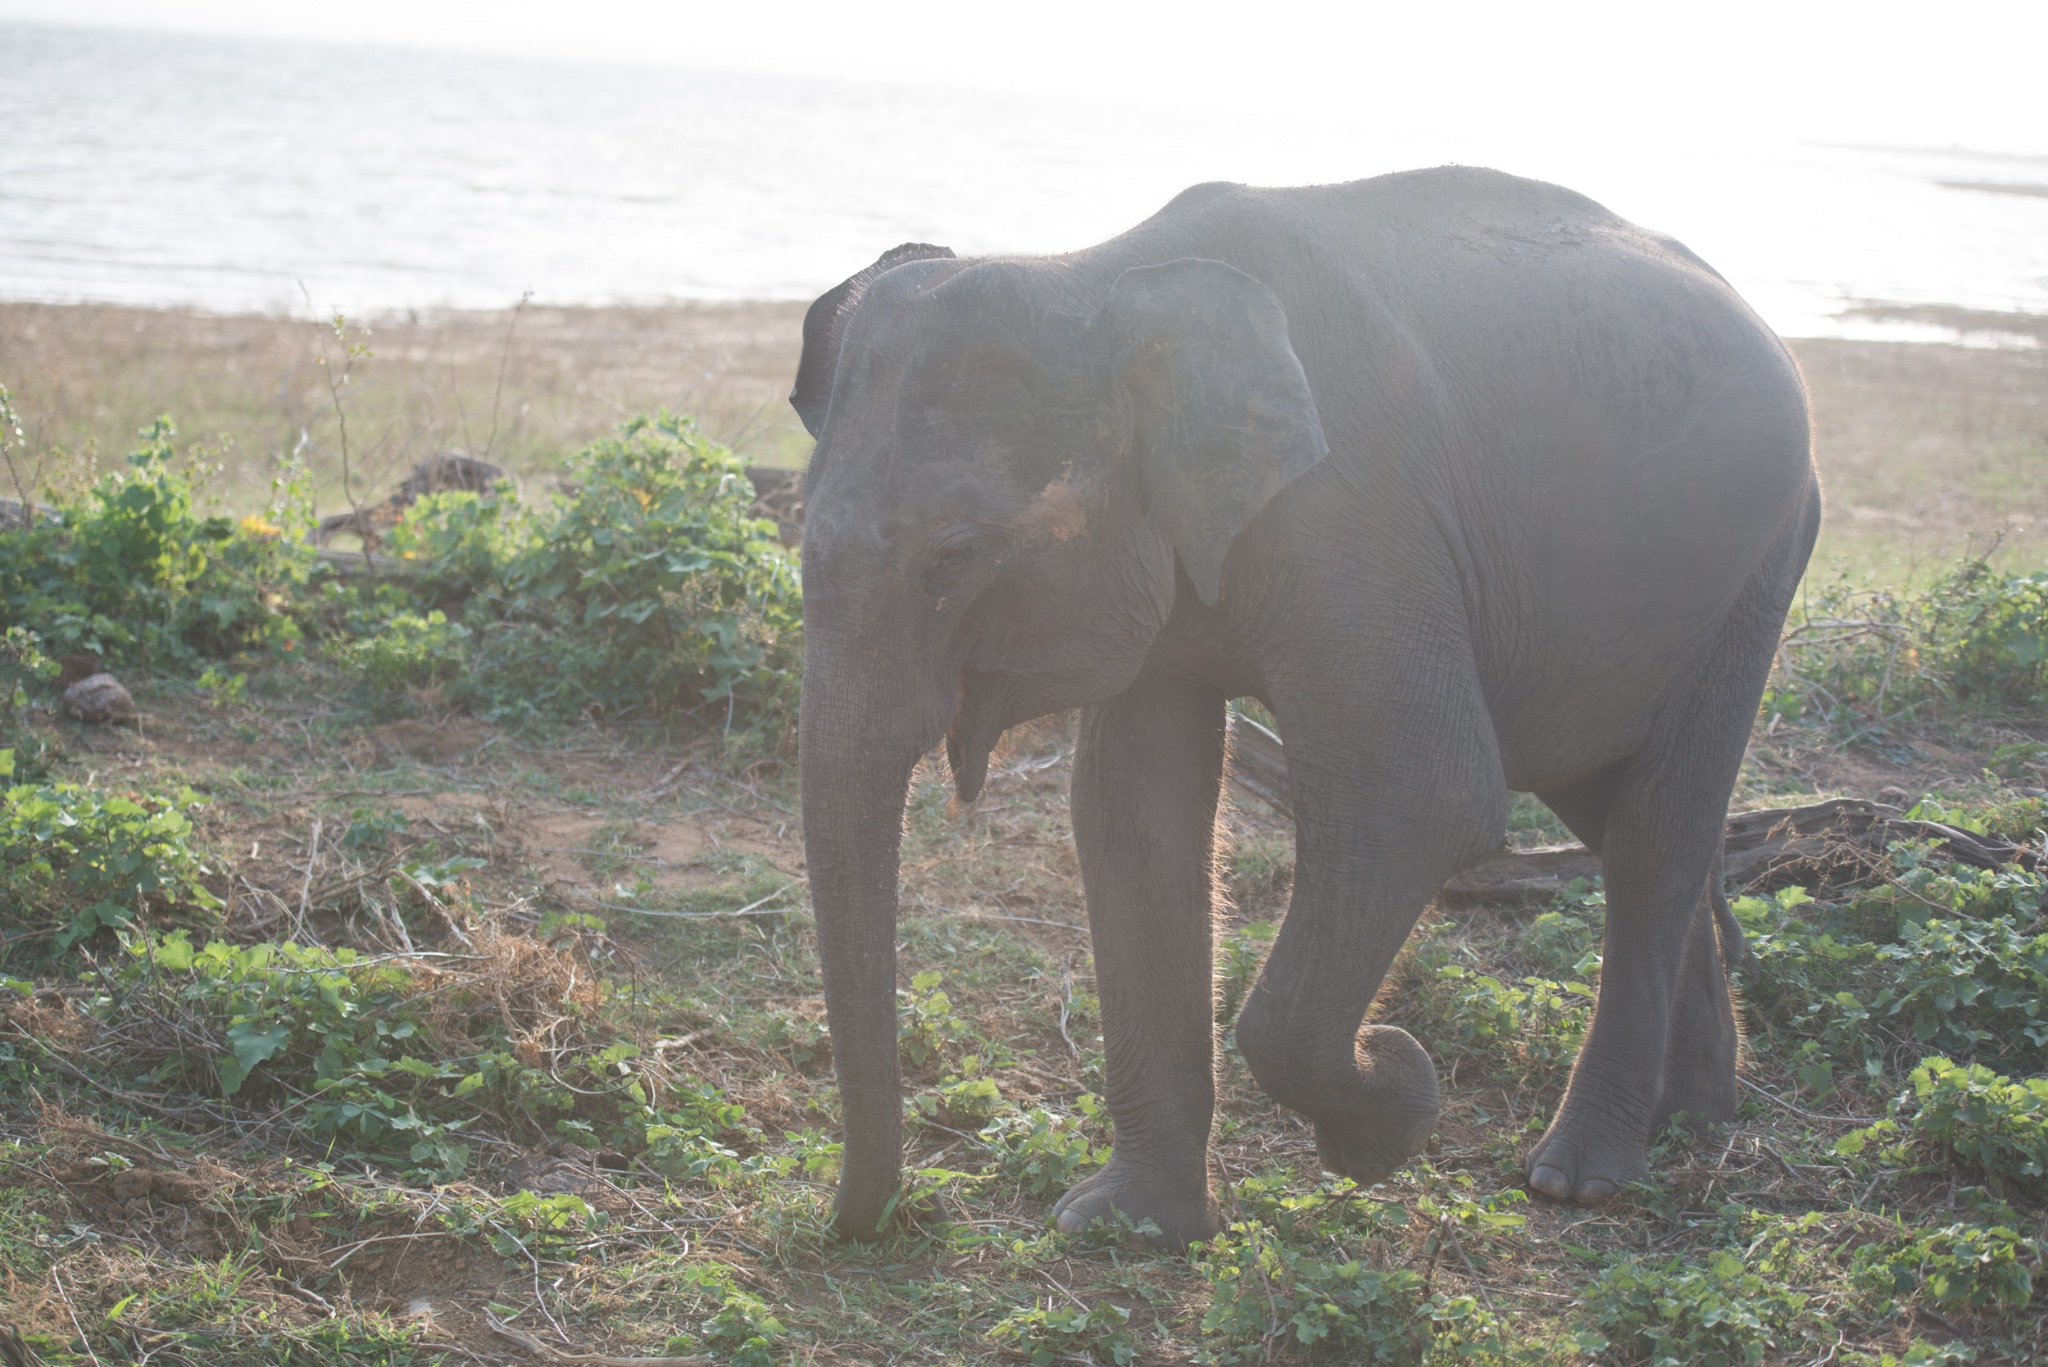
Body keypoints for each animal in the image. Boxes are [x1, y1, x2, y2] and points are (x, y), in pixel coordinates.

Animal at [786, 168, 1826, 1254]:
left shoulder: (1353, 515)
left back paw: (1579, 1176)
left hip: (1758, 559)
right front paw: (1133, 1227)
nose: (862, 1224)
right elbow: (1134, 811)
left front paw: (1391, 1116)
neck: (1100, 274)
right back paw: (1695, 1113)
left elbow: (1424, 793)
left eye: (953, 554)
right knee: (1613, 807)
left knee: (1656, 834)